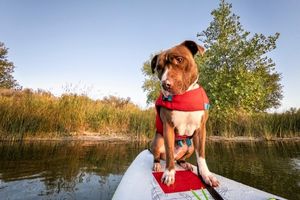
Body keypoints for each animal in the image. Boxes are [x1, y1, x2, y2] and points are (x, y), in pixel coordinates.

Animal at [151, 40, 219, 188]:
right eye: (159, 68)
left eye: (179, 59)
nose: (165, 84)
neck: (184, 96)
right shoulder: (168, 127)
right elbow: (170, 152)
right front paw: (169, 173)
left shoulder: (201, 129)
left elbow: (201, 156)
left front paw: (206, 175)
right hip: (158, 140)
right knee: (161, 156)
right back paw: (157, 165)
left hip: (191, 146)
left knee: (179, 159)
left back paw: (185, 164)